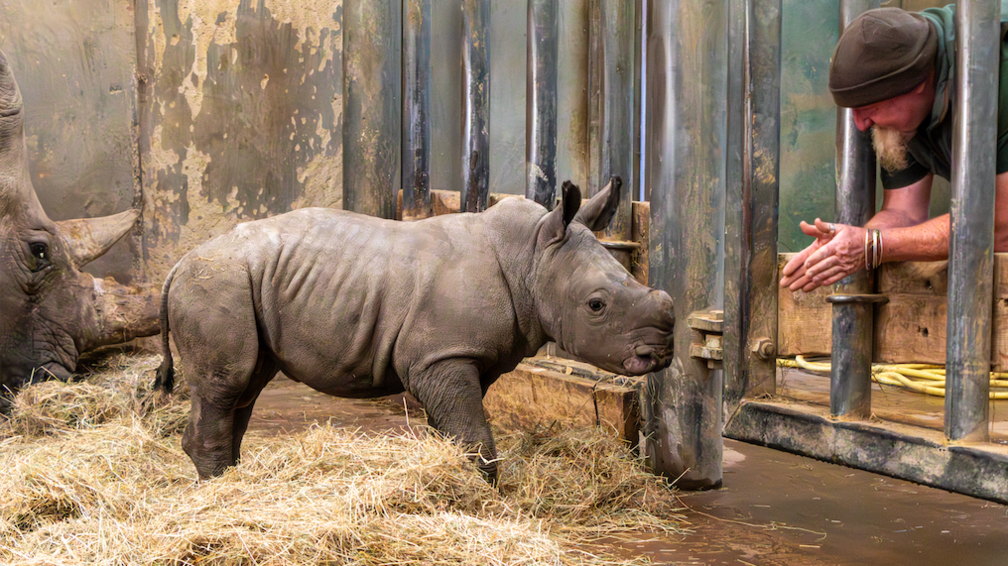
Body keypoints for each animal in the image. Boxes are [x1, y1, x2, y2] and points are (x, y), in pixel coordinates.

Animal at [155, 177, 675, 482]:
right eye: (596, 305)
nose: (661, 353)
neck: (531, 256)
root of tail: (178, 262)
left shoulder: (458, 355)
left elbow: (455, 428)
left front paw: (452, 482)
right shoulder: (441, 356)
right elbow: (473, 434)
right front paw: (481, 497)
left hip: (241, 285)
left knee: (246, 385)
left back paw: (233, 481)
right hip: (218, 282)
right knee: (228, 384)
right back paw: (219, 491)